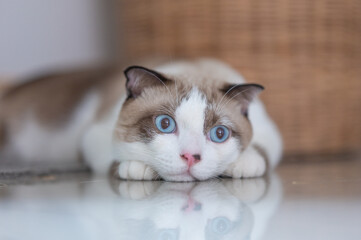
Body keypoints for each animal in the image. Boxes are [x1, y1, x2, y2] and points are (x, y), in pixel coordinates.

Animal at [0, 59, 282, 181]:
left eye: (219, 134)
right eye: (165, 125)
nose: (190, 157)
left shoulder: (271, 135)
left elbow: (260, 152)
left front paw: (243, 163)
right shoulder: (93, 136)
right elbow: (118, 158)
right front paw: (139, 168)